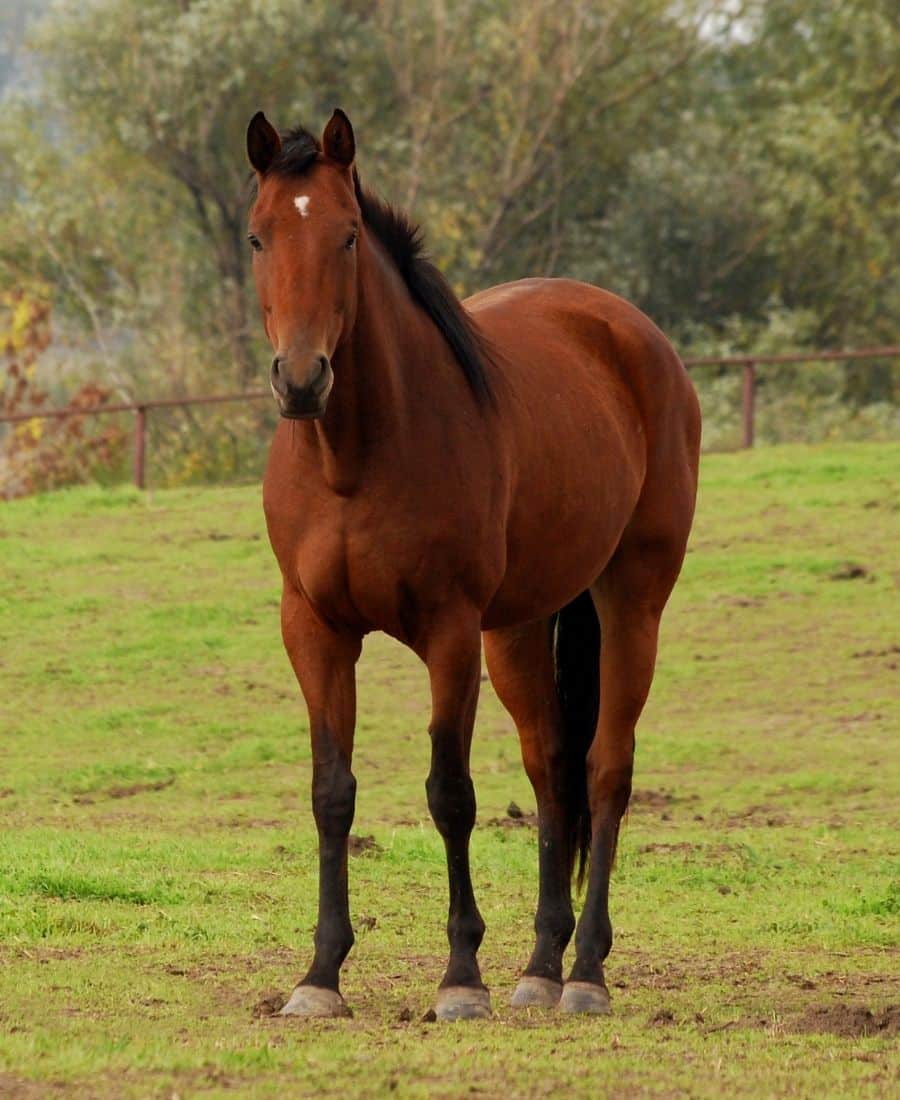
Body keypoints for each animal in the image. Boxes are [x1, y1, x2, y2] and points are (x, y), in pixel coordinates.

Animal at [246, 108, 700, 1021]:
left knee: (606, 770)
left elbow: (449, 794)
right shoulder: (314, 630)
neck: (356, 455)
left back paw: (585, 973)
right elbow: (331, 792)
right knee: (553, 771)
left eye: (347, 236)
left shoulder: (449, 633)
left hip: (631, 601)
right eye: (257, 237)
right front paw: (320, 976)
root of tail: (634, 337)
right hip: (521, 629)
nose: (301, 379)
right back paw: (541, 966)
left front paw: (460, 976)